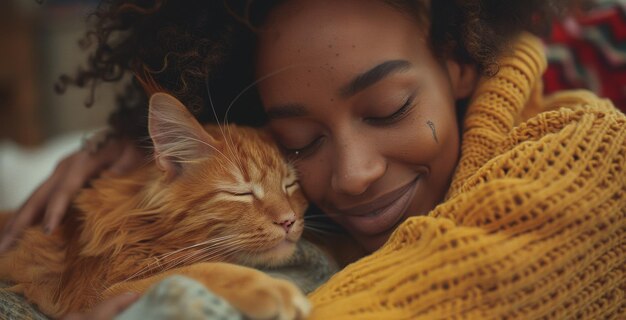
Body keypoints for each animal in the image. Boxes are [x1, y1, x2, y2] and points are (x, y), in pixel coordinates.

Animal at [0, 92, 310, 318]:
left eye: (290, 184)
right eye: (241, 193)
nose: (288, 220)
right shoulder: (95, 296)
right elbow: (192, 272)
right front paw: (267, 288)